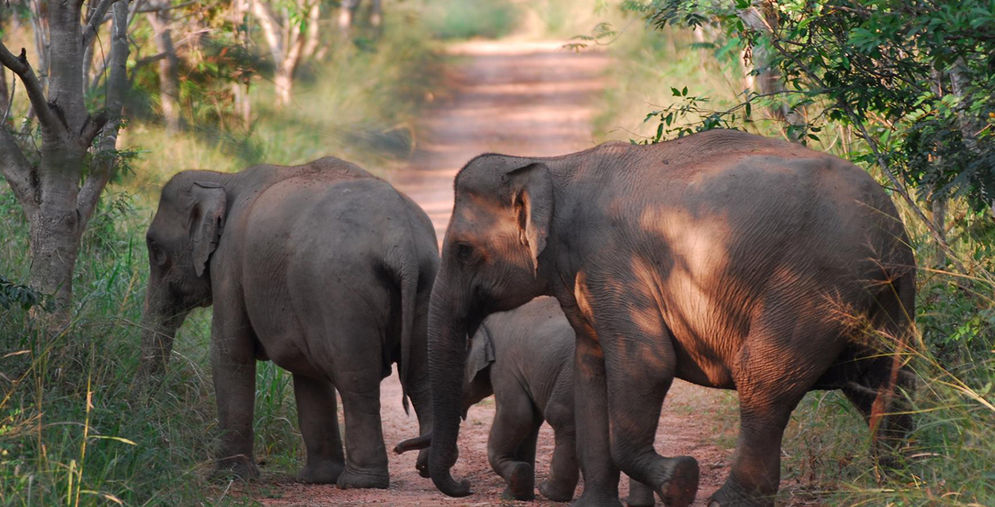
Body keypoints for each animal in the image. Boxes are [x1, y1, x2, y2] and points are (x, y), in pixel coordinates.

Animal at [140, 158, 440, 488]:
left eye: (155, 250)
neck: (223, 179)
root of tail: (402, 243)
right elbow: (308, 373)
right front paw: (316, 479)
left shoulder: (228, 264)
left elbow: (230, 352)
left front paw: (228, 478)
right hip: (428, 281)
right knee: (422, 375)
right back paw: (427, 468)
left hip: (341, 292)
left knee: (357, 380)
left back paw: (360, 482)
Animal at [392, 296, 656, 506]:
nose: (397, 449)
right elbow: (530, 424)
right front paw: (518, 494)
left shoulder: (505, 365)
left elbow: (517, 416)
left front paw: (516, 481)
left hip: (571, 374)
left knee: (561, 418)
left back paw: (550, 493)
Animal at [424, 131, 916, 507]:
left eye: (463, 250)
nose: (461, 486)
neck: (555, 167)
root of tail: (887, 225)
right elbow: (591, 374)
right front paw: (597, 505)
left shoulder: (614, 265)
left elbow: (647, 364)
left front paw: (680, 481)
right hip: (885, 291)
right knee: (885, 376)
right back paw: (894, 482)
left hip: (811, 287)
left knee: (764, 378)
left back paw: (728, 500)